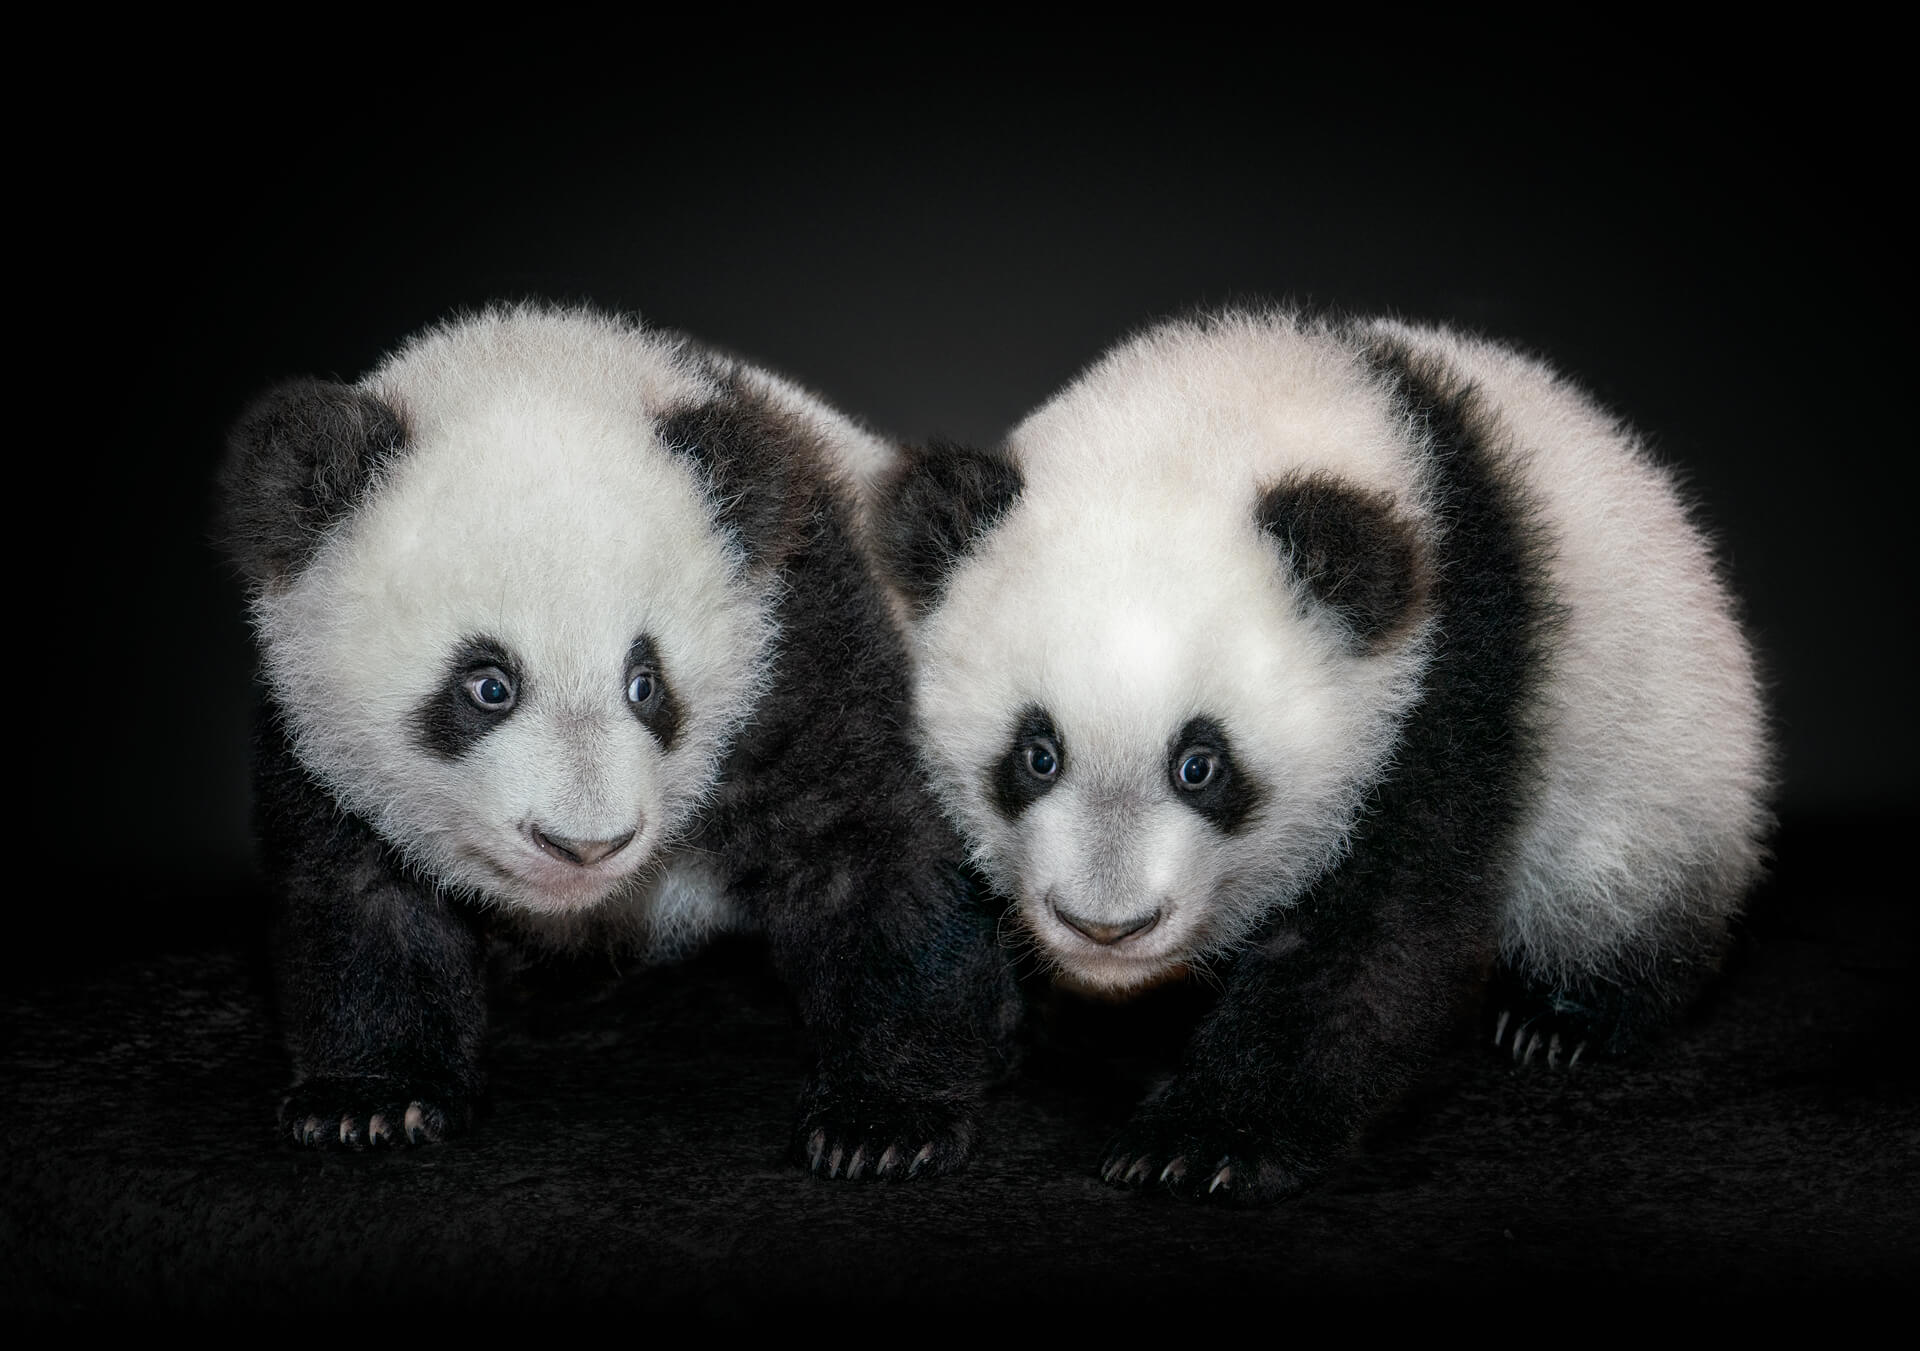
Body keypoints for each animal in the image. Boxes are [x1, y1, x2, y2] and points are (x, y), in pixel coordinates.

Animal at [218, 303, 1018, 1176]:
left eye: (646, 684)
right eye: (487, 686)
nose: (584, 846)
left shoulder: (796, 638)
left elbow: (871, 849)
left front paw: (883, 1122)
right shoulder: (312, 729)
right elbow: (361, 891)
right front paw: (371, 1100)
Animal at [874, 309, 1773, 1205]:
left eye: (1201, 766)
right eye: (1038, 755)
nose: (1107, 926)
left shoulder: (1448, 679)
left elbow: (1377, 936)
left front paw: (1203, 1140)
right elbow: (917, 892)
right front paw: (899, 1112)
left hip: (1655, 760)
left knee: (1621, 894)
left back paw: (1564, 1019)